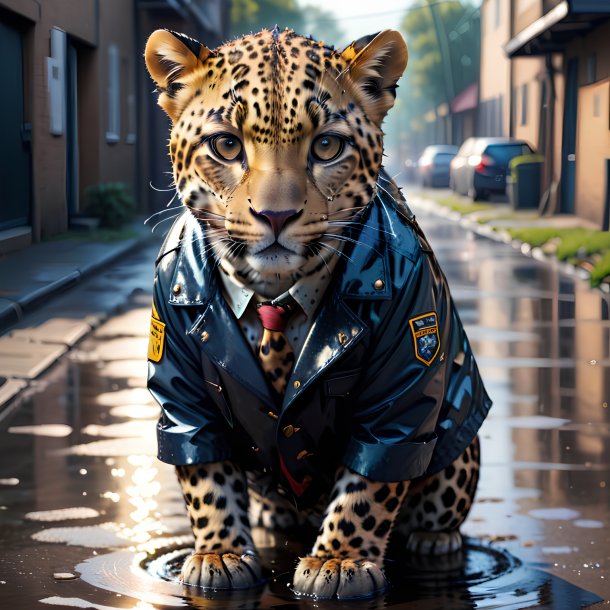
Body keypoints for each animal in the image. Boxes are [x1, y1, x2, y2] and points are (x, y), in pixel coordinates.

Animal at [145, 26, 482, 596]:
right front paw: (219, 552)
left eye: (327, 145)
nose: (276, 215)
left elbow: (370, 482)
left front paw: (340, 560)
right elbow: (205, 473)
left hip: (458, 446)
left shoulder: (400, 386)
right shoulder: (180, 385)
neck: (275, 292)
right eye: (226, 145)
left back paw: (434, 539)